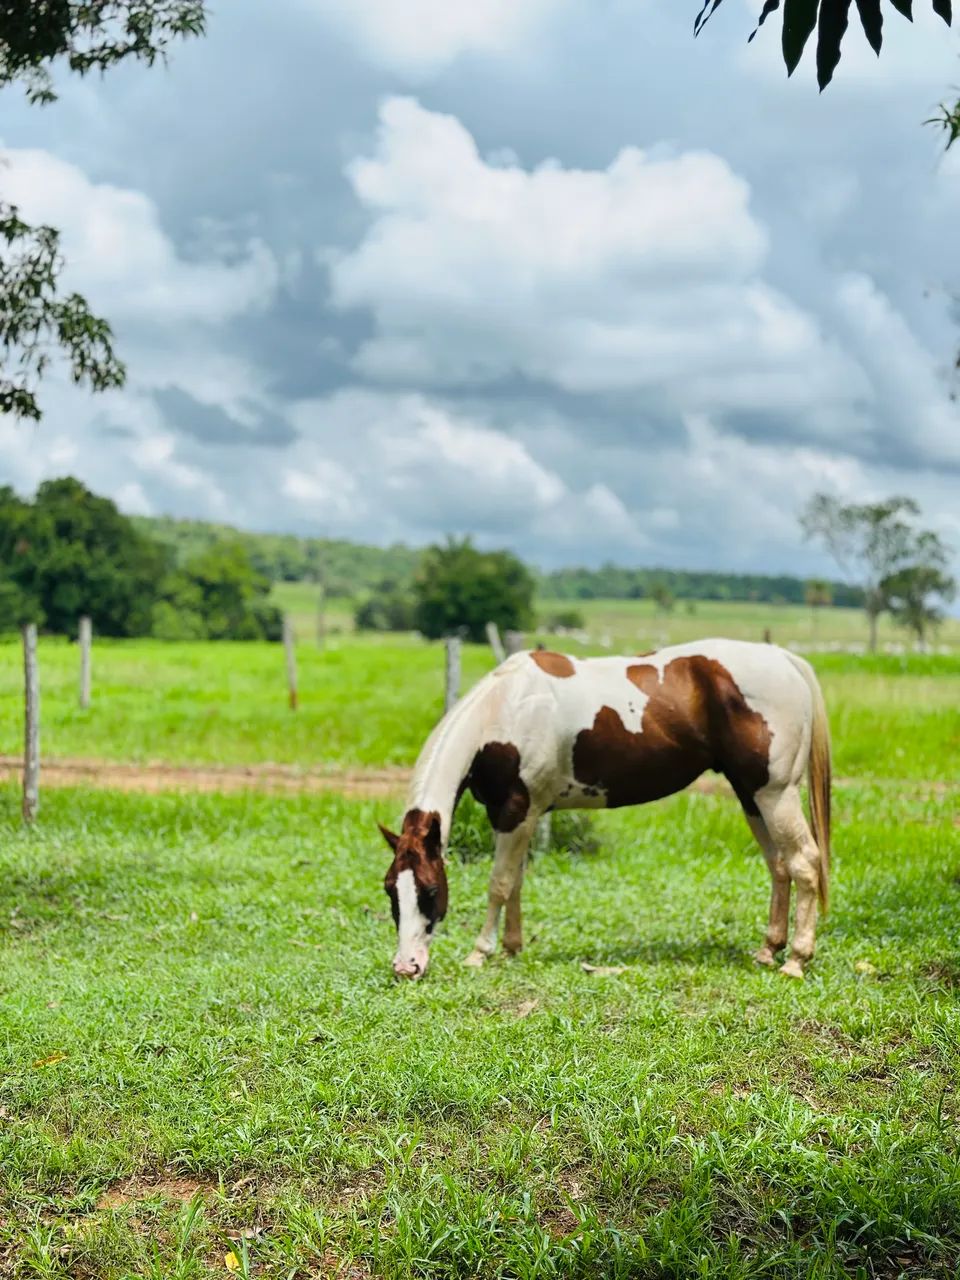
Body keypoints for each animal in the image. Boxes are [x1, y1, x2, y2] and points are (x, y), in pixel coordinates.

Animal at [379, 639, 831, 982]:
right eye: (390, 890)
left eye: (430, 890)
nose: (406, 967)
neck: (506, 709)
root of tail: (785, 659)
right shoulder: (514, 815)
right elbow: (517, 881)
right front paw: (511, 947)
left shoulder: (516, 813)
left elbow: (500, 884)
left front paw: (481, 952)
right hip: (750, 795)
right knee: (779, 866)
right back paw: (769, 950)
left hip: (776, 794)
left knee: (805, 863)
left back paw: (796, 960)